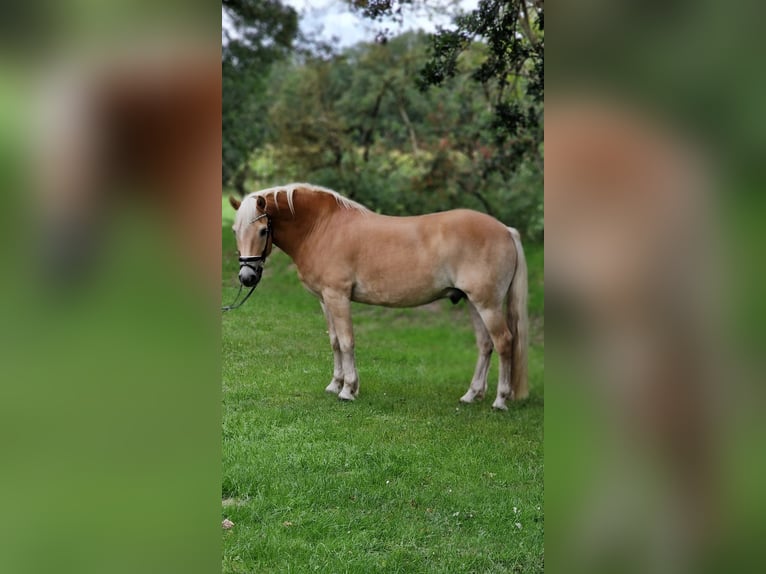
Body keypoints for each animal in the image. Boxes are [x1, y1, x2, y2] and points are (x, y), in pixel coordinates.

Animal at [228, 183, 528, 410]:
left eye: (263, 230)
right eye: (235, 231)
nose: (247, 277)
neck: (322, 228)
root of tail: (506, 230)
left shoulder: (338, 297)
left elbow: (347, 342)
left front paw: (348, 390)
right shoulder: (325, 300)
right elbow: (334, 342)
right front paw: (335, 384)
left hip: (487, 304)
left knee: (504, 342)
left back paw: (500, 400)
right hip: (473, 303)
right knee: (485, 345)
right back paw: (471, 394)